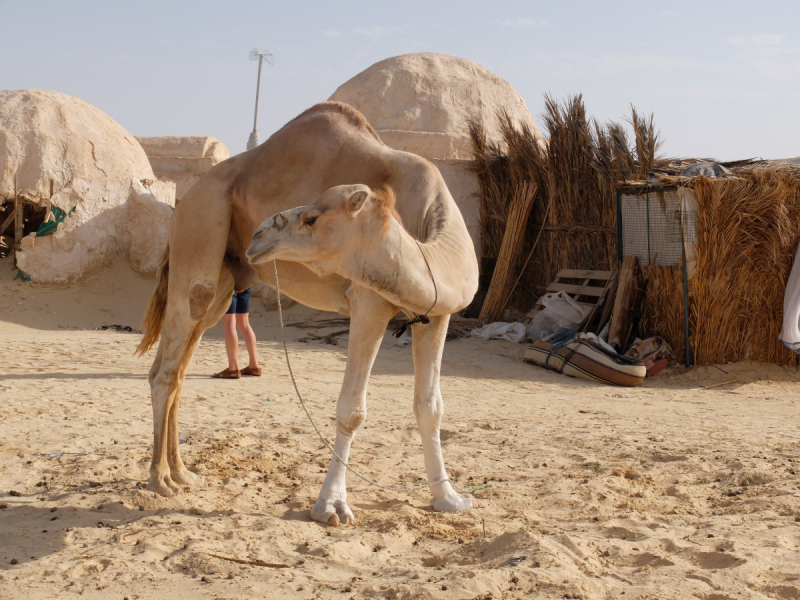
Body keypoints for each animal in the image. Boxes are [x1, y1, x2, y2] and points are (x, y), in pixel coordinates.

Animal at [134, 102, 478, 524]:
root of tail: (185, 198)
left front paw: (449, 498)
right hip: (199, 228)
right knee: (167, 364)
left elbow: (431, 407)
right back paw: (159, 480)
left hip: (226, 283)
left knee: (180, 371)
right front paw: (332, 505)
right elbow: (351, 410)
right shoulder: (370, 301)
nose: (259, 234)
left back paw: (184, 473)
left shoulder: (436, 312)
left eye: (311, 219)